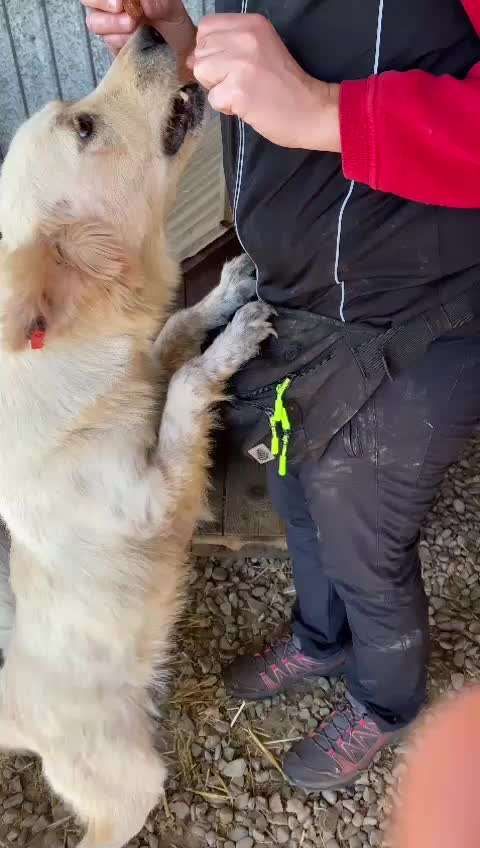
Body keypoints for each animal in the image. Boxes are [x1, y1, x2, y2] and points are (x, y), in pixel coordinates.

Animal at [0, 23, 272, 848]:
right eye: (83, 126)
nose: (150, 29)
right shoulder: (151, 500)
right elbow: (185, 392)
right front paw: (233, 340)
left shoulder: (148, 357)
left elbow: (174, 333)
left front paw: (223, 294)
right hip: (127, 782)